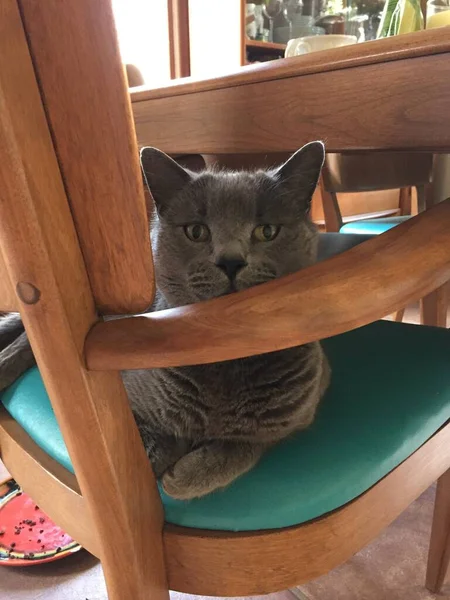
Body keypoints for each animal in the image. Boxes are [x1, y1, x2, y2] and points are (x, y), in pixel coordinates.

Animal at [0, 143, 330, 500]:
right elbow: (142, 453)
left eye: (267, 231)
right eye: (196, 231)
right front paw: (168, 459)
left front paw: (188, 475)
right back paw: (4, 363)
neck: (227, 360)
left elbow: (248, 444)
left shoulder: (303, 409)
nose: (230, 261)